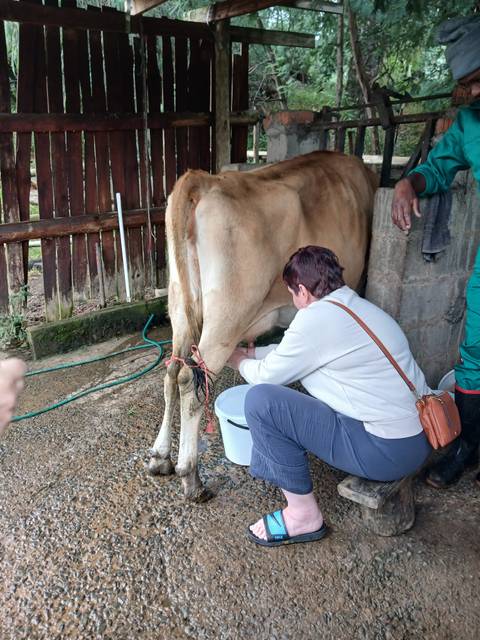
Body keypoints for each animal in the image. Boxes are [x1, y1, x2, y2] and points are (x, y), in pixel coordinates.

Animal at [148, 151, 378, 501]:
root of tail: (203, 180)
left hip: (178, 306)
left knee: (172, 372)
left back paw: (160, 458)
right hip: (227, 315)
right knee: (191, 380)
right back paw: (191, 477)